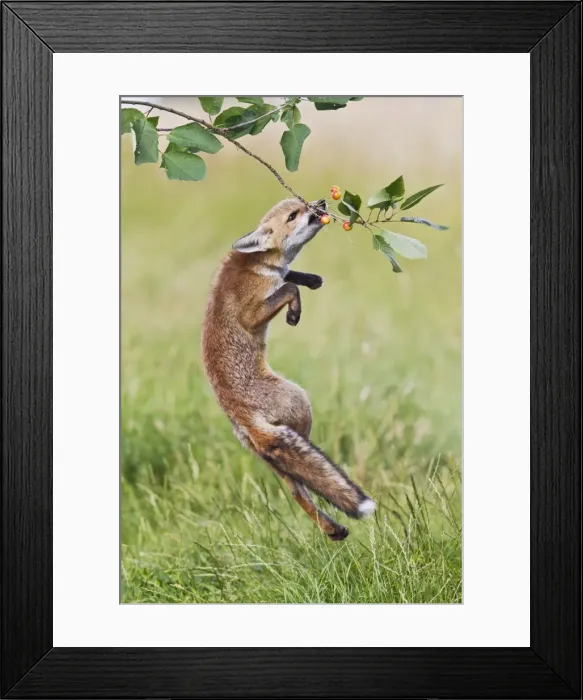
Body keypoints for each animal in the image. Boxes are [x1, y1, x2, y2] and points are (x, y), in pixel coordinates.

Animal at [202, 197, 376, 540]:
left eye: (302, 204)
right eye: (294, 215)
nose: (320, 202)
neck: (258, 264)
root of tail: (242, 414)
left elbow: (289, 279)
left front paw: (308, 279)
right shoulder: (250, 314)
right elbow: (286, 289)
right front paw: (294, 311)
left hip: (267, 455)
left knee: (296, 490)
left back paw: (333, 528)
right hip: (301, 406)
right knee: (305, 474)